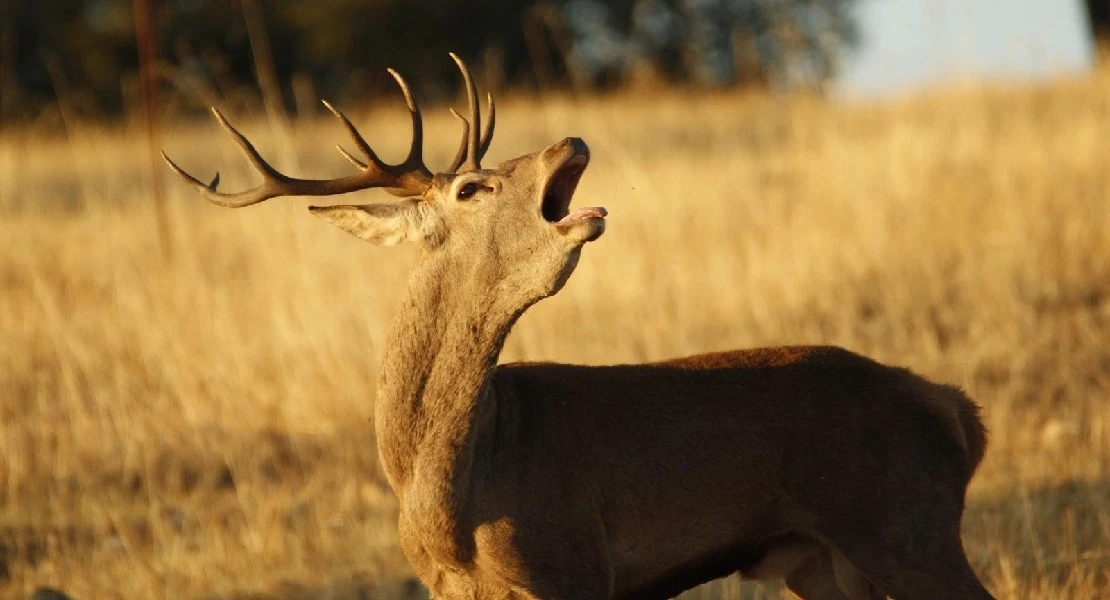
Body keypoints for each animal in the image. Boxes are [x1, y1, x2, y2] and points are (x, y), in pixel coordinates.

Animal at [163, 54, 996, 600]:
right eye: (471, 186)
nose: (570, 140)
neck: (449, 496)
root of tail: (958, 410)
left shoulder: (573, 564)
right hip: (823, 559)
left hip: (907, 527)